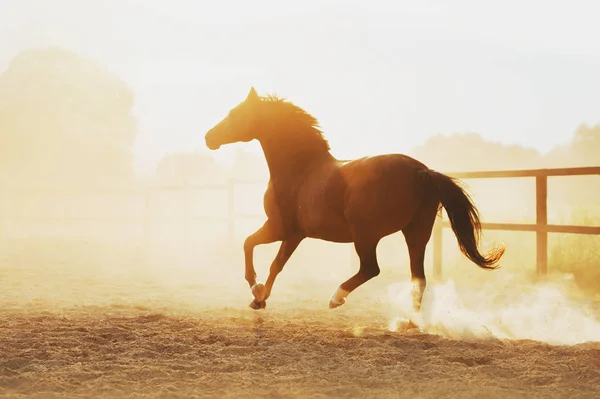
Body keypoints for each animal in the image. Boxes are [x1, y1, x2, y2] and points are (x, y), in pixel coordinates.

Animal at [204, 86, 504, 322]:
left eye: (235, 114)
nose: (209, 138)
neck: (300, 169)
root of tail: (423, 172)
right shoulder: (296, 234)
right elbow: (276, 264)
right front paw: (259, 299)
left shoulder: (280, 227)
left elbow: (250, 245)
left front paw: (255, 289)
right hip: (416, 234)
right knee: (417, 278)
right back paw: (410, 322)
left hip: (366, 235)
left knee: (371, 268)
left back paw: (337, 298)